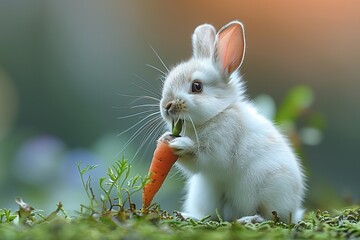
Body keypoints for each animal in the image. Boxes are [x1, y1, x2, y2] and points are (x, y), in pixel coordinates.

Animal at [159, 20, 306, 223]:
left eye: (197, 86)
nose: (166, 106)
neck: (218, 114)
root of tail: (295, 210)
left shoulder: (219, 148)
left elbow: (201, 156)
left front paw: (180, 144)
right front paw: (166, 138)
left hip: (271, 189)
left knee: (273, 217)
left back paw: (250, 219)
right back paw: (187, 216)